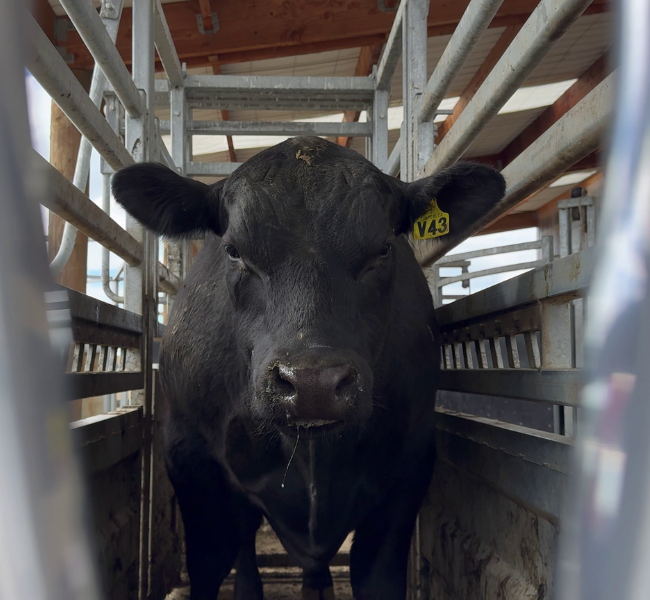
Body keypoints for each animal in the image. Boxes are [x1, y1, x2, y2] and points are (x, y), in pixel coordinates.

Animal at [112, 136, 505, 600]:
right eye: (234, 251)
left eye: (383, 248)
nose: (313, 383)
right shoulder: (189, 455)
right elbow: (211, 562)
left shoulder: (410, 464)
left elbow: (377, 576)